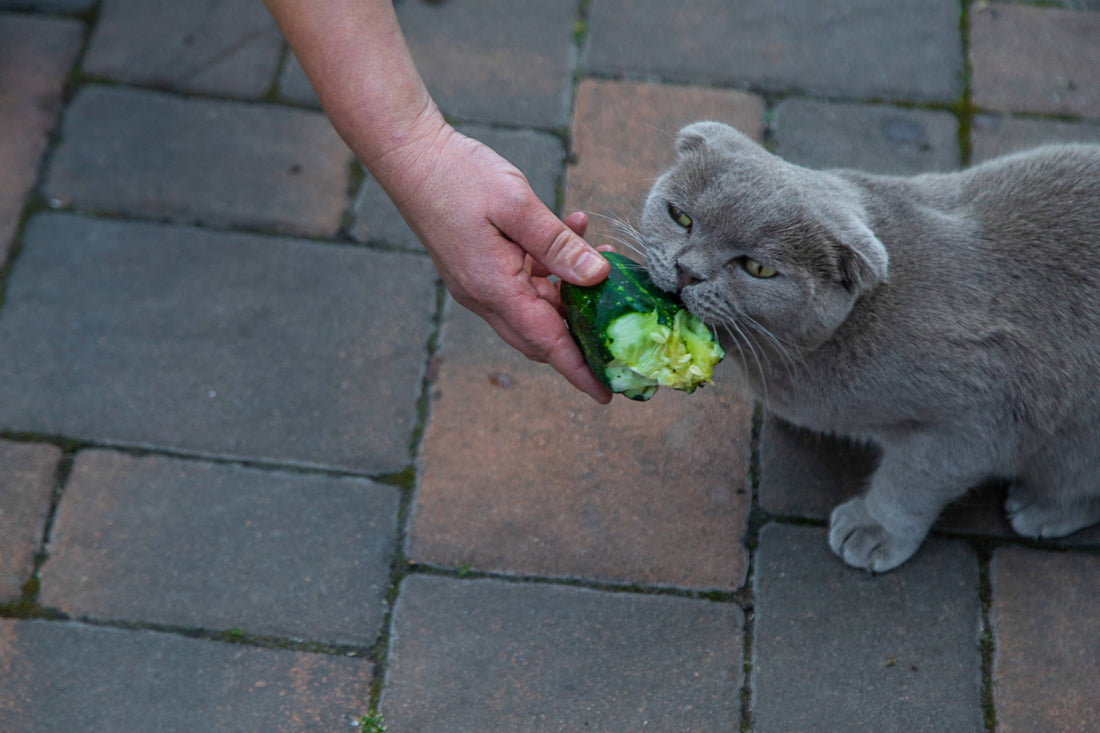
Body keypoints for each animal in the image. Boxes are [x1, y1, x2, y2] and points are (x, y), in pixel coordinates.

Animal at [642, 121, 1100, 572]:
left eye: (757, 268)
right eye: (680, 217)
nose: (687, 271)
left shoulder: (985, 415)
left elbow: (914, 479)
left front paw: (874, 530)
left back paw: (1041, 508)